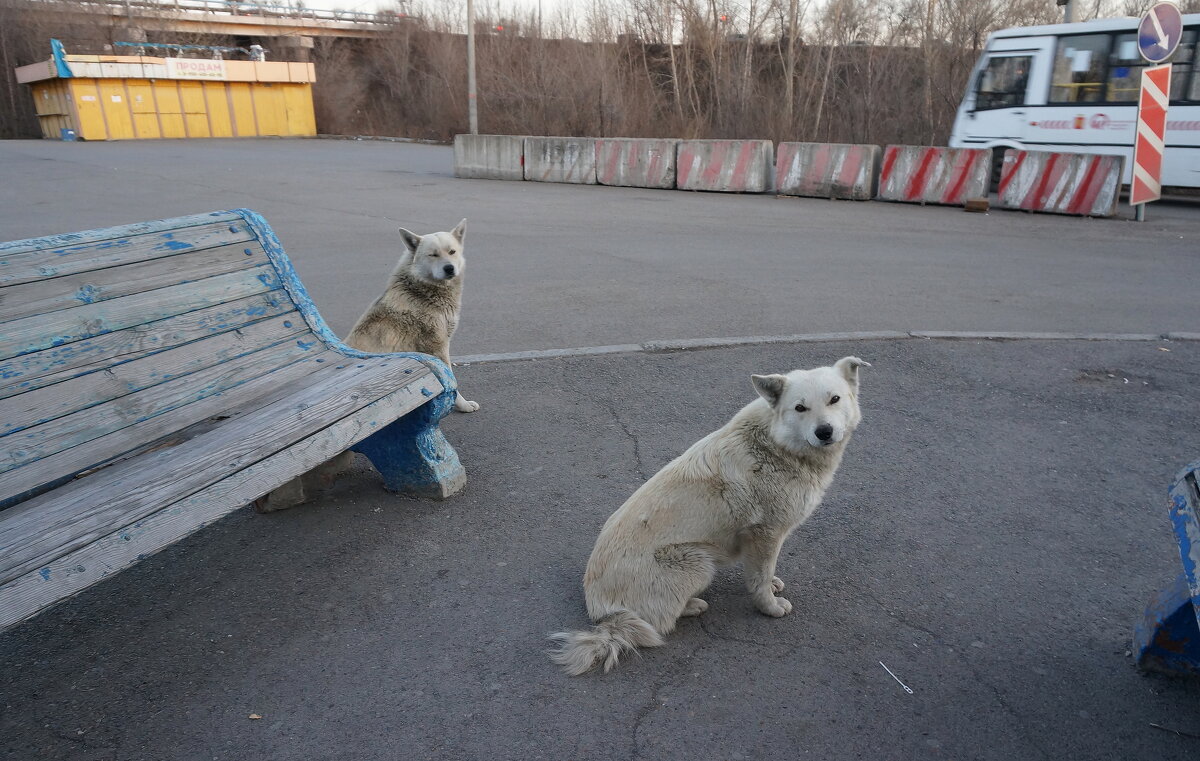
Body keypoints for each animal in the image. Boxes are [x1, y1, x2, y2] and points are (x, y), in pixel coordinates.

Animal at [549, 352, 868, 672]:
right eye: (800, 408)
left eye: (834, 399)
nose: (824, 432)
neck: (776, 444)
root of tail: (603, 614)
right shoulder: (765, 534)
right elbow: (760, 578)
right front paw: (769, 607)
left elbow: (765, 572)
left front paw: (773, 585)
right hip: (698, 562)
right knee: (656, 623)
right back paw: (692, 605)